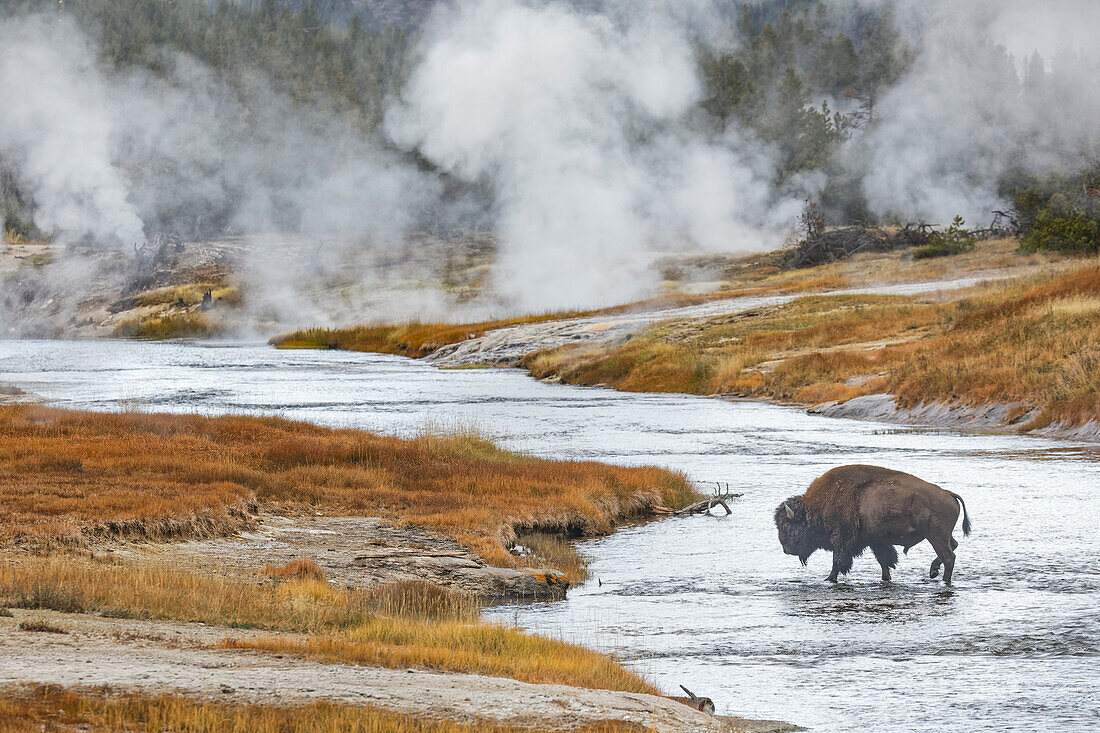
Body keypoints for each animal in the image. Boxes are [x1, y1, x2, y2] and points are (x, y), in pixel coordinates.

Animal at [774, 464, 972, 585]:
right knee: (954, 546)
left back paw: (943, 579)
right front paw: (886, 579)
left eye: (787, 526)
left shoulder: (842, 540)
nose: (786, 549)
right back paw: (933, 572)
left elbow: (838, 561)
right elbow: (884, 561)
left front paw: (829, 579)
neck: (818, 505)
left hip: (935, 536)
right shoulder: (876, 541)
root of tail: (947, 493)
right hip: (942, 536)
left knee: (949, 556)